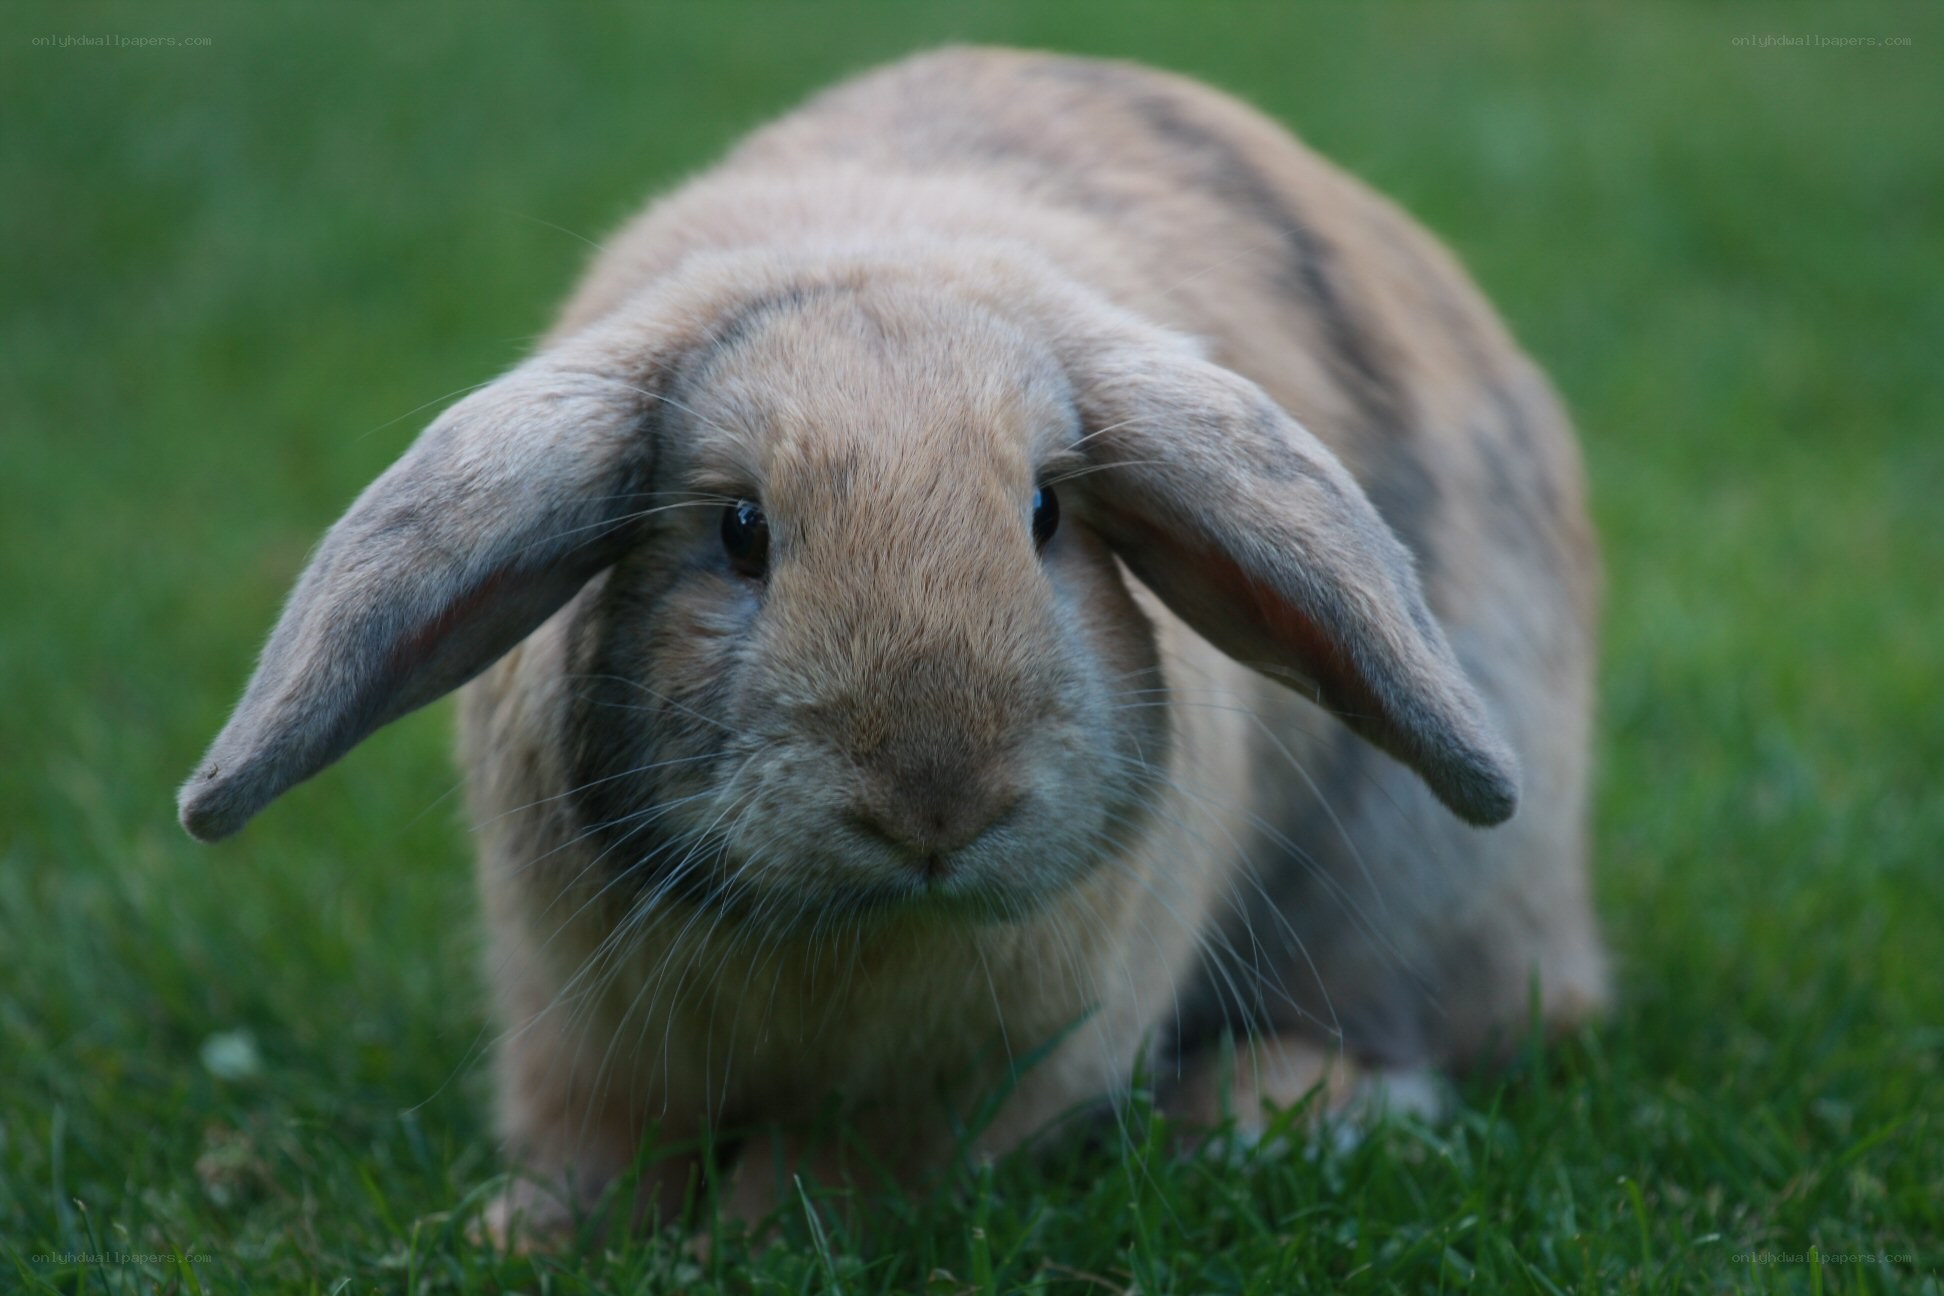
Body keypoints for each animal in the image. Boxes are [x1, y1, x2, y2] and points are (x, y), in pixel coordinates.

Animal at [178, 46, 1605, 1240]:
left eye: (1046, 514)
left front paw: (753, 1237)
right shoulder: (574, 1033)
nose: (936, 800)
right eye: (740, 529)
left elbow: (848, 1172)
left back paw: (1274, 1106)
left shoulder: (993, 1076)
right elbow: (592, 1148)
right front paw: (522, 1239)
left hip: (1414, 887)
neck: (844, 933)